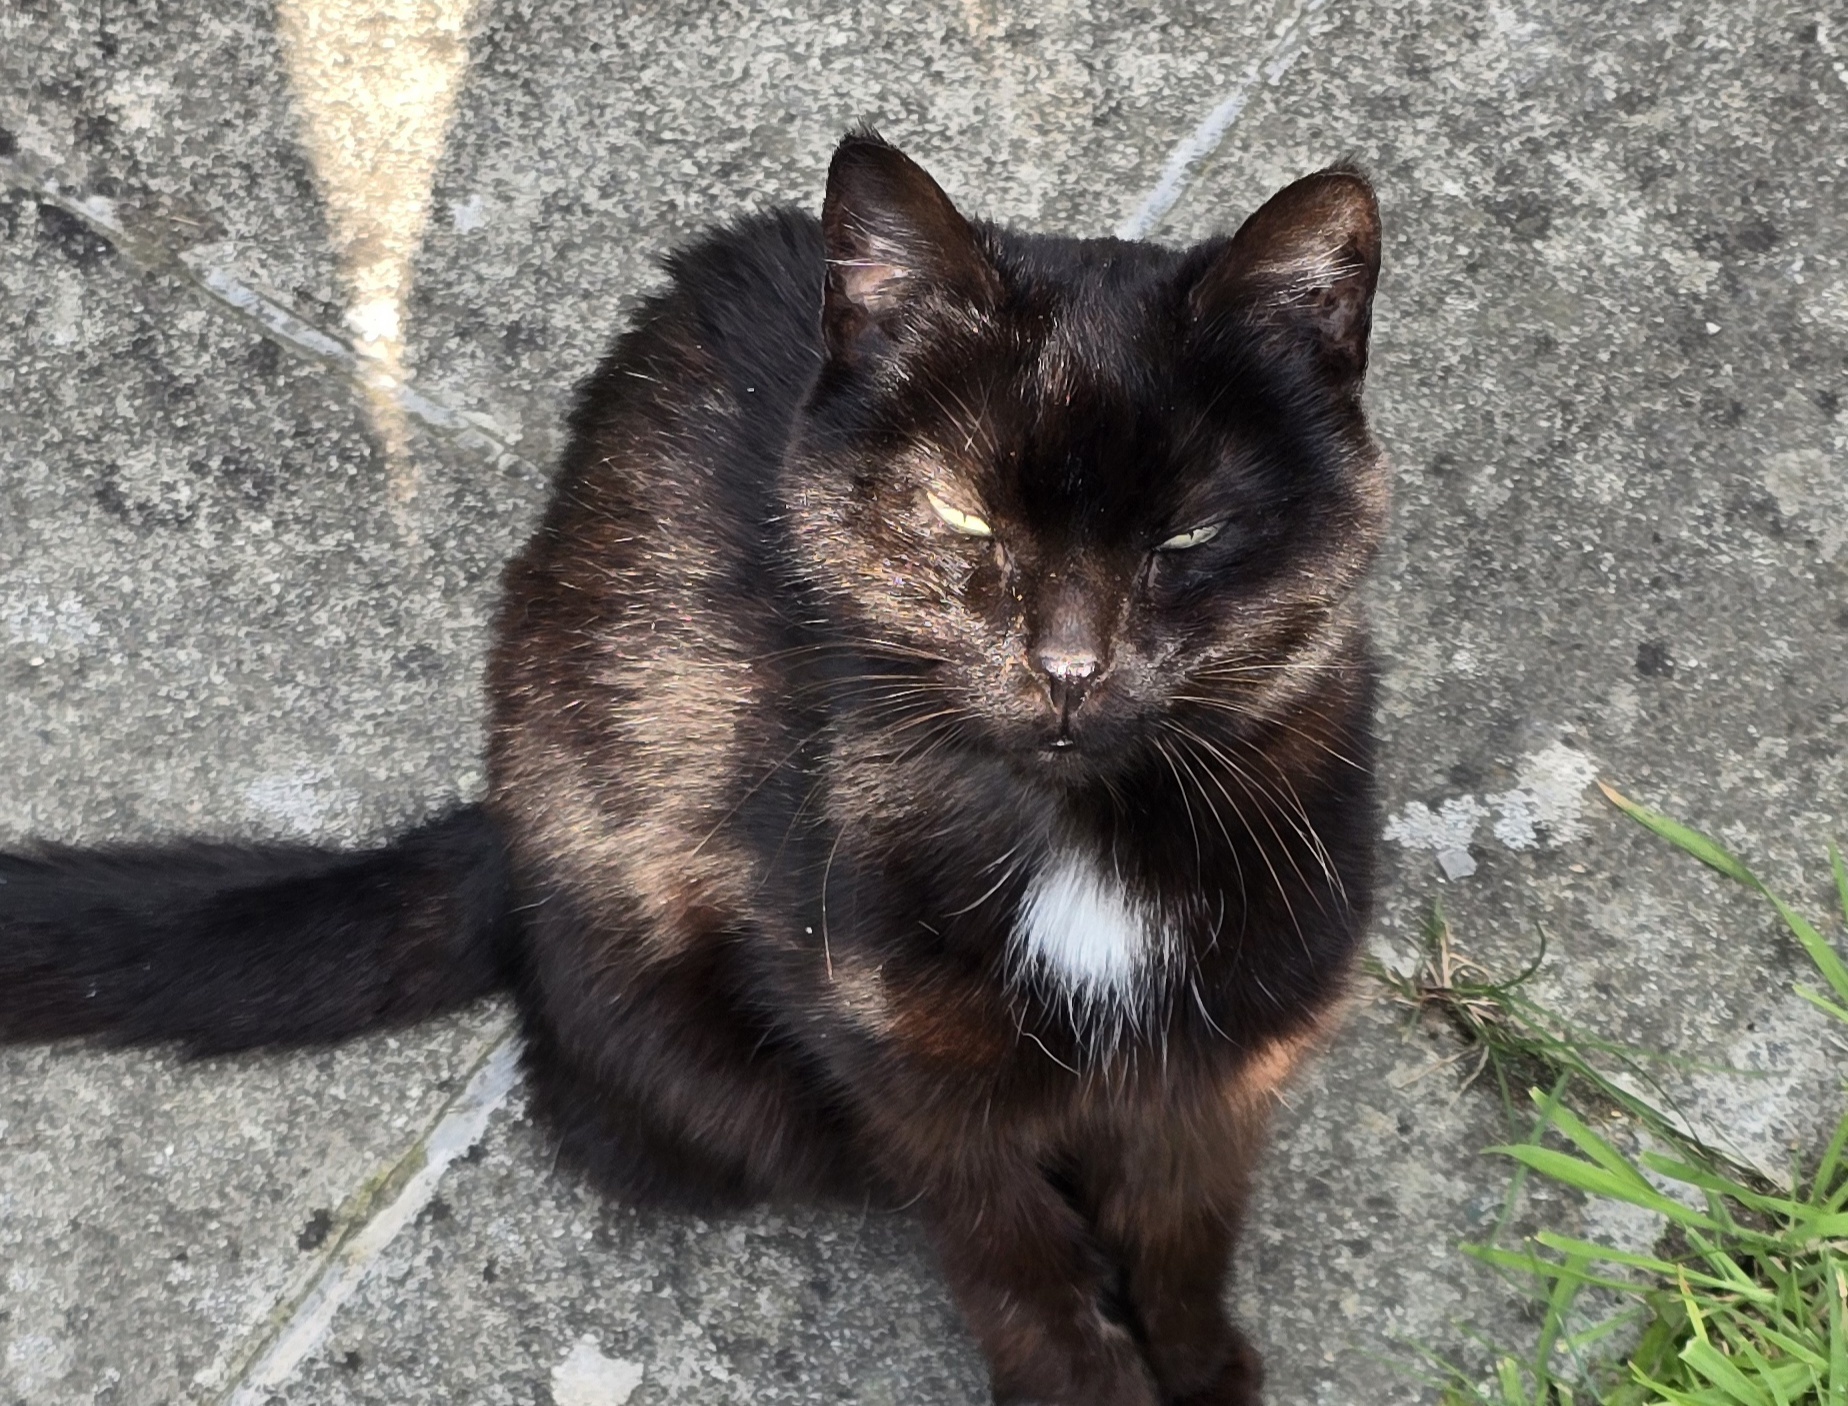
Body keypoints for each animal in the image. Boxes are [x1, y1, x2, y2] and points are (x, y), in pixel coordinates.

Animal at [0, 131, 1386, 1406]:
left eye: (1190, 535)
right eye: (961, 517)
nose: (1067, 666)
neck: (1072, 841)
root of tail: (506, 808)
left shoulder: (1229, 1059)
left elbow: (1185, 1236)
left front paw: (1199, 1369)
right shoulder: (904, 1071)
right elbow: (1013, 1255)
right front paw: (1079, 1373)